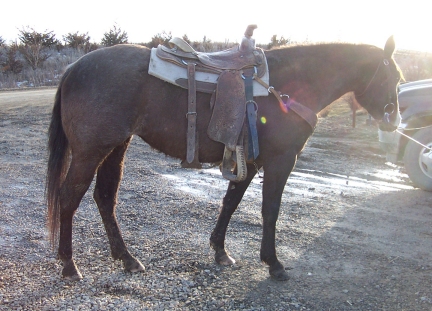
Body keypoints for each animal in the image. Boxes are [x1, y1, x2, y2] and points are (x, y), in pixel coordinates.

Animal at [46, 35, 402, 282]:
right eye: (394, 78)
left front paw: (220, 250)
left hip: (115, 147)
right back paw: (69, 264)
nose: (394, 122)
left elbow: (231, 201)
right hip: (90, 152)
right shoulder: (281, 160)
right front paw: (273, 263)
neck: (286, 85)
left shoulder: (250, 160)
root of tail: (72, 68)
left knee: (105, 198)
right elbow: (270, 210)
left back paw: (126, 258)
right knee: (69, 197)